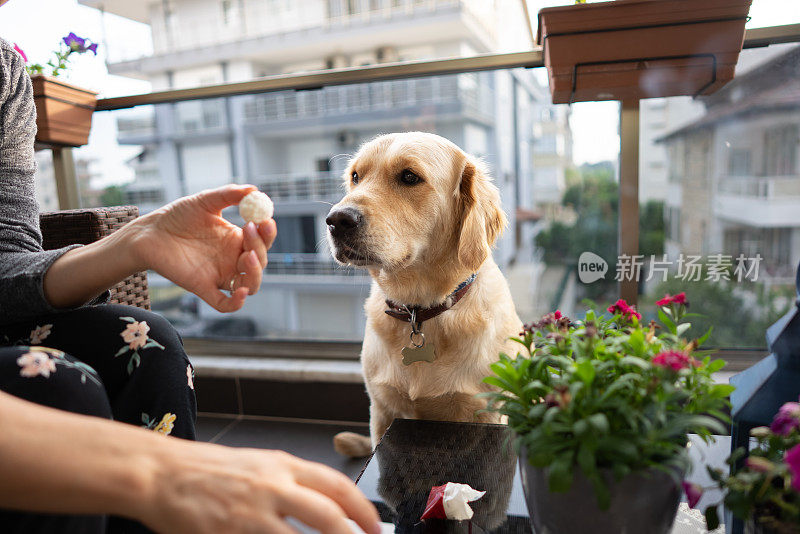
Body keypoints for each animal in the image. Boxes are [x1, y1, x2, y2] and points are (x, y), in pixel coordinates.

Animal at [326, 132, 524, 458]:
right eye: (356, 176)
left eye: (409, 177)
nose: (336, 220)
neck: (419, 310)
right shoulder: (382, 410)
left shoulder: (489, 415)